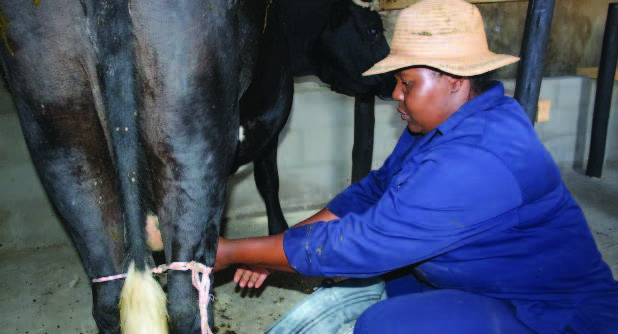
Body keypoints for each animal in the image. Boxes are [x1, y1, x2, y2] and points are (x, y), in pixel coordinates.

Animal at [1, 0, 390, 334]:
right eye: (373, 29)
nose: (391, 79)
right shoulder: (269, 117)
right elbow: (268, 181)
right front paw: (276, 236)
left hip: (59, 125)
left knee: (109, 295)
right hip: (189, 120)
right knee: (186, 303)